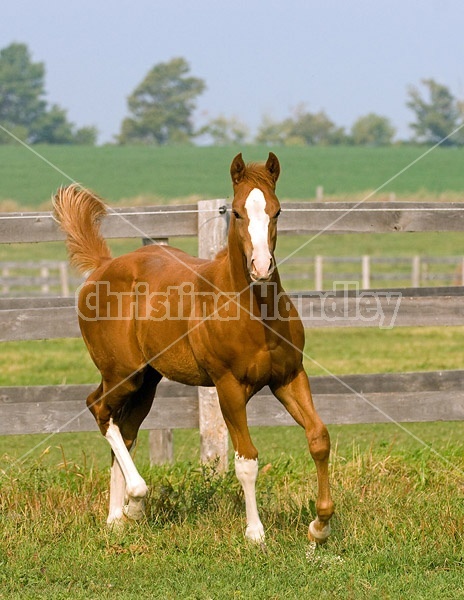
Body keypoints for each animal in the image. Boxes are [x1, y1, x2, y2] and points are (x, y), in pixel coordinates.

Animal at [55, 154, 334, 544]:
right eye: (236, 212)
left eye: (277, 211)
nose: (261, 267)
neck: (253, 312)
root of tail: (102, 267)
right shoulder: (228, 386)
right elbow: (246, 460)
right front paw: (255, 533)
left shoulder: (289, 377)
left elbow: (318, 437)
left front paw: (320, 526)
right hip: (122, 373)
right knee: (99, 409)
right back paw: (134, 503)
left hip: (147, 382)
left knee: (124, 429)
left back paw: (117, 518)